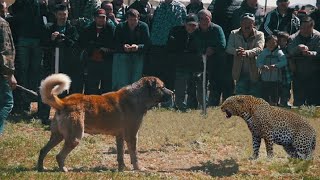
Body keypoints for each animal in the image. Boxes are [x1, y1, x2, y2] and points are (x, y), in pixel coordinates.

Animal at [37, 73, 175, 172]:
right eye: (162, 87)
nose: (173, 93)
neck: (138, 96)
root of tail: (64, 102)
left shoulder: (120, 137)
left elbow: (120, 155)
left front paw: (122, 169)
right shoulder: (132, 136)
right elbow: (134, 155)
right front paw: (139, 169)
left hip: (58, 136)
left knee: (43, 150)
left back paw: (41, 168)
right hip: (74, 137)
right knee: (59, 156)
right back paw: (63, 169)